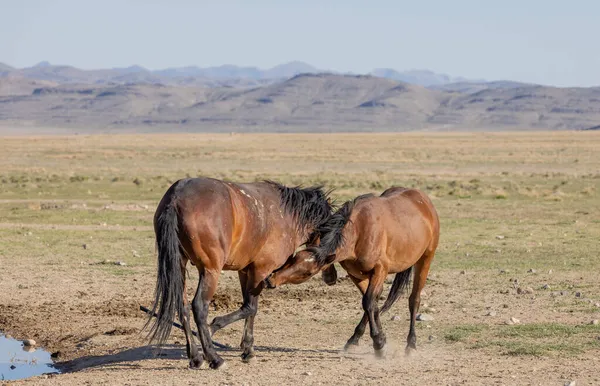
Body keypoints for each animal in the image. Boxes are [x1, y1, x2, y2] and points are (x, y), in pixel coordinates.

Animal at [145, 176, 332, 370]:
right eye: (308, 272)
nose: (271, 282)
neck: (287, 215)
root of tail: (177, 197)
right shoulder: (260, 270)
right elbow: (250, 307)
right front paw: (220, 331)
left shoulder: (245, 271)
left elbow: (250, 309)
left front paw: (248, 349)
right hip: (210, 271)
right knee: (199, 307)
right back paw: (214, 358)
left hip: (180, 265)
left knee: (183, 307)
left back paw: (196, 357)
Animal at [264, 186, 438, 356]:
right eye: (294, 257)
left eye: (308, 273)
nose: (271, 280)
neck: (360, 231)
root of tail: (423, 200)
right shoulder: (356, 275)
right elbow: (371, 304)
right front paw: (374, 339)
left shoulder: (380, 270)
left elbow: (368, 302)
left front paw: (378, 344)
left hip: (425, 260)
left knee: (414, 300)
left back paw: (411, 344)